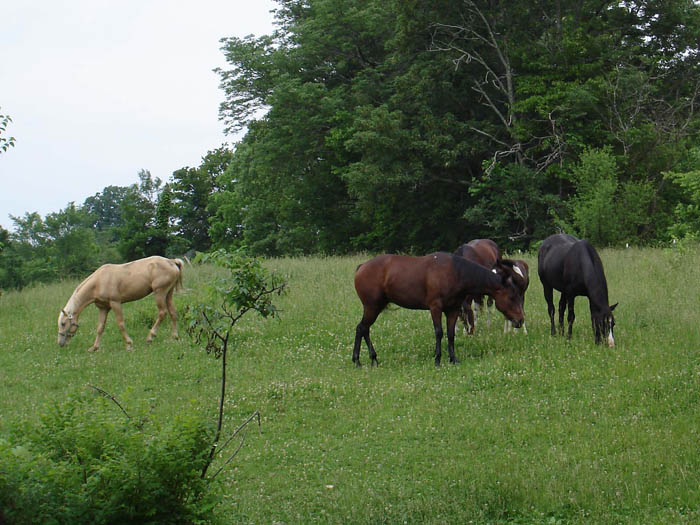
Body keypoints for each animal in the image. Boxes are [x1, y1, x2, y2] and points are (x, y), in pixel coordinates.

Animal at [352, 252, 525, 367]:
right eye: (511, 297)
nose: (520, 320)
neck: (456, 272)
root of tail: (361, 267)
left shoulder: (453, 310)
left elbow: (450, 334)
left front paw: (453, 359)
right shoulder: (435, 308)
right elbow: (439, 332)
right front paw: (437, 359)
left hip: (375, 307)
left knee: (364, 329)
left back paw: (371, 358)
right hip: (372, 307)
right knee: (361, 328)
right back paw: (359, 360)